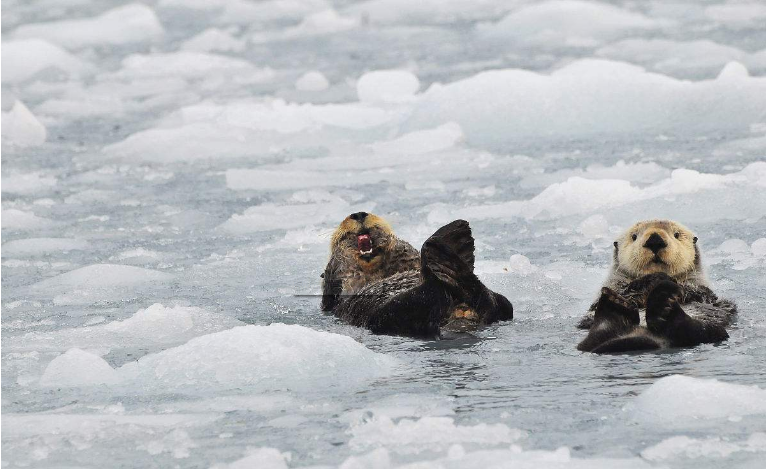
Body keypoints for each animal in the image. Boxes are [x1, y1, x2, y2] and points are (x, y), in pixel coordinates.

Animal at [322, 212, 516, 336]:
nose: (358, 214)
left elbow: (405, 251)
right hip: (389, 314)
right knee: (431, 290)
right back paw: (444, 251)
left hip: (499, 303)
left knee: (494, 303)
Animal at [576, 218, 736, 352]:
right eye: (634, 236)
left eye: (676, 234)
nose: (654, 240)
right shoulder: (615, 287)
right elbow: (623, 292)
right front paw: (658, 277)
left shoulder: (703, 290)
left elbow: (699, 294)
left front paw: (671, 284)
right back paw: (617, 305)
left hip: (712, 329)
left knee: (695, 331)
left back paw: (664, 306)